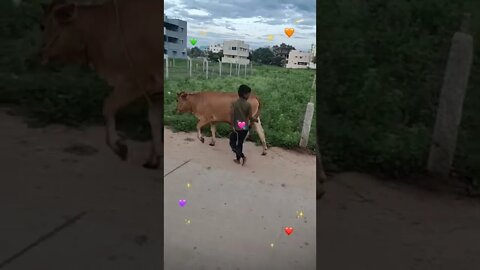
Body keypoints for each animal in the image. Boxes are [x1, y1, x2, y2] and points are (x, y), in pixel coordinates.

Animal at [39, 0, 163, 169]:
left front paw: (118, 146)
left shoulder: (136, 81)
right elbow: (154, 120)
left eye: (43, 26)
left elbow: (108, 106)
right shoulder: (154, 92)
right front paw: (154, 158)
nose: (40, 54)